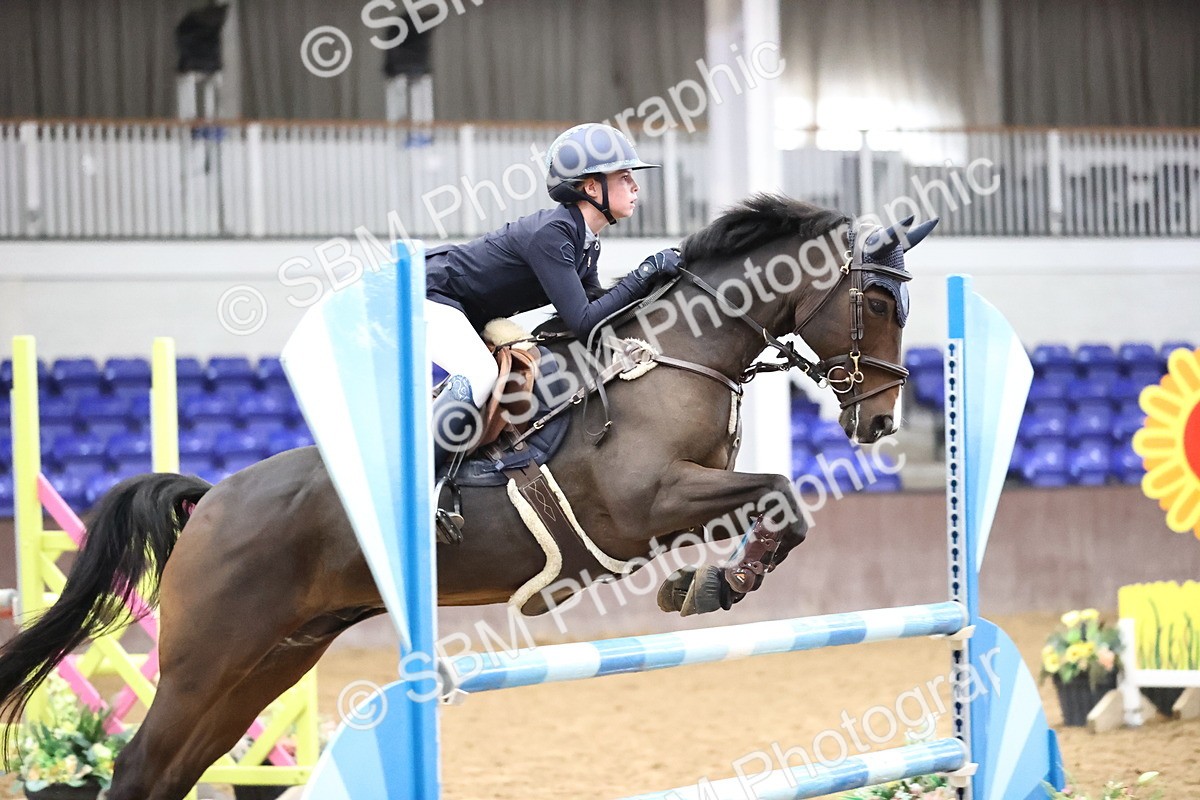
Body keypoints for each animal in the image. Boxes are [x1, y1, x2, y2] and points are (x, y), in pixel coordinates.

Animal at [0, 195, 933, 800]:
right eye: (876, 298)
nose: (884, 419)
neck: (676, 353)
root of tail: (212, 499)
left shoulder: (690, 496)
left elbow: (779, 505)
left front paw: (710, 581)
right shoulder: (645, 504)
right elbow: (782, 493)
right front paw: (712, 585)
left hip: (267, 662)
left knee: (171, 770)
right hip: (208, 660)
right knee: (138, 767)